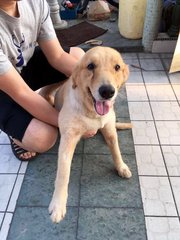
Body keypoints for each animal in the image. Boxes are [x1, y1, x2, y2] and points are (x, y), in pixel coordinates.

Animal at [47, 46, 132, 223]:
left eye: (117, 67)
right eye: (91, 66)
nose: (107, 92)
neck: (92, 113)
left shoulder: (109, 128)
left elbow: (116, 149)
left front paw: (121, 166)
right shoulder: (67, 140)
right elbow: (63, 174)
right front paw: (58, 205)